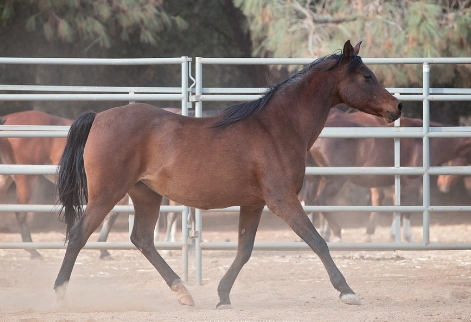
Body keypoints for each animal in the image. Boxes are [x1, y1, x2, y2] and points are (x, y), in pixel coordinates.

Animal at [54, 41, 402, 310]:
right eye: (367, 76)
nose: (397, 106)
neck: (276, 127)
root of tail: (99, 117)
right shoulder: (282, 200)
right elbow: (318, 242)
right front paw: (347, 292)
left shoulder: (254, 204)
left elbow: (244, 250)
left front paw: (222, 296)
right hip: (107, 194)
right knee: (78, 235)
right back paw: (60, 295)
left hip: (145, 194)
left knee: (142, 239)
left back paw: (184, 293)